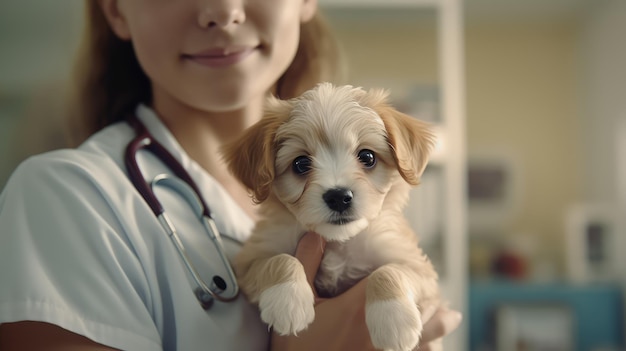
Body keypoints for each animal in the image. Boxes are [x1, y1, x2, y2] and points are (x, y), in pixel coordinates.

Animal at [222, 83, 442, 351]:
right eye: (301, 163)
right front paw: (289, 300)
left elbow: (389, 271)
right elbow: (280, 259)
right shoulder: (249, 261)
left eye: (367, 157)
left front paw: (394, 320)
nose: (338, 197)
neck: (338, 242)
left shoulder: (420, 269)